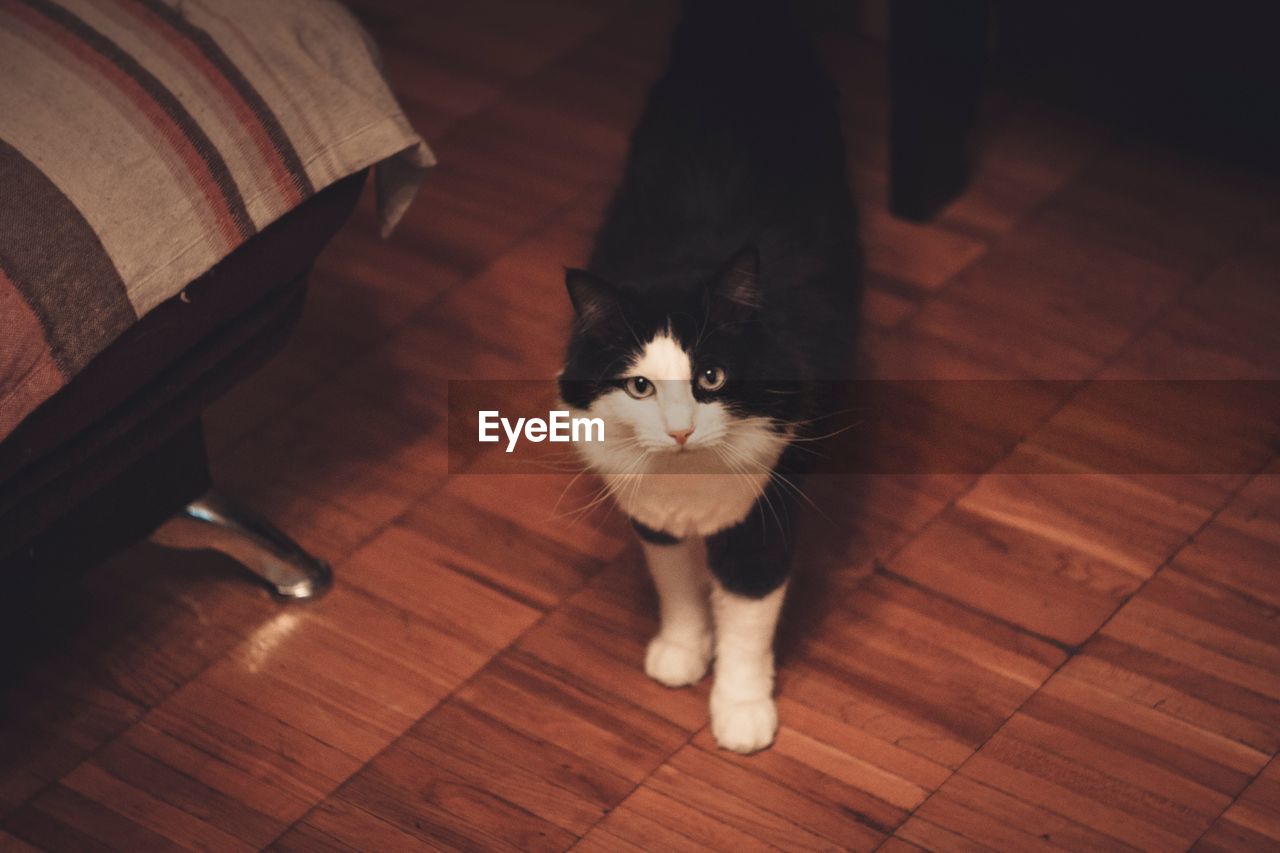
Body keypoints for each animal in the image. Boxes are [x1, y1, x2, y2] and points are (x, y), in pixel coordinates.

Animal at [558, 0, 860, 753]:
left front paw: (742, 709)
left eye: (713, 377)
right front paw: (681, 650)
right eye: (639, 385)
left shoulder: (768, 505)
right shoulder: (652, 509)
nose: (680, 430)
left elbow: (748, 609)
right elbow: (676, 582)